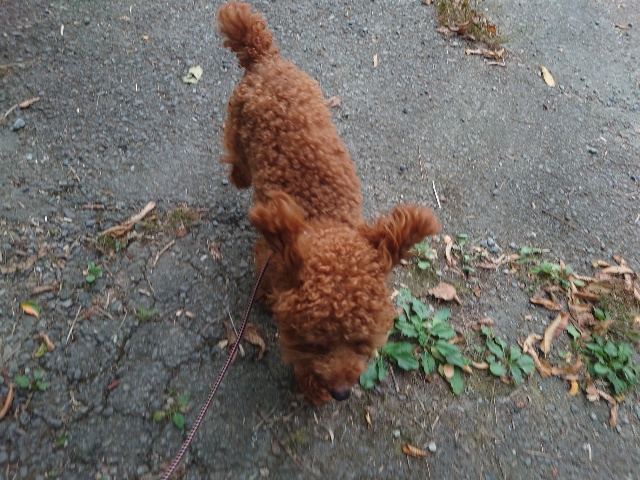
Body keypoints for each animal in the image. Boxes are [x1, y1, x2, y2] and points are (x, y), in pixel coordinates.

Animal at [217, 0, 441, 404]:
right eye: (314, 344)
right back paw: (240, 175)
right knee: (235, 154)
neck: (324, 219)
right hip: (237, 121)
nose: (340, 393)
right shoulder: (268, 257)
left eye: (361, 342)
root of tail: (265, 57)